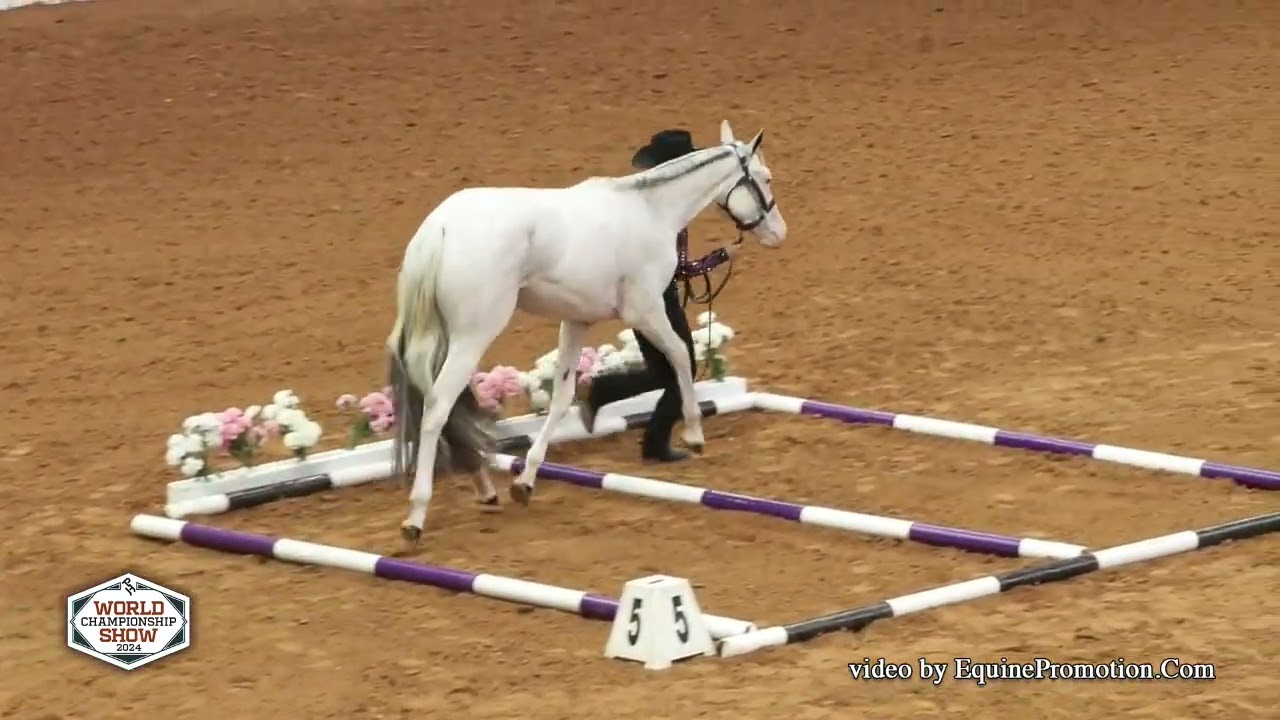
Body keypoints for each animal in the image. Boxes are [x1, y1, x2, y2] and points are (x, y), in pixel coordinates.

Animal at [386, 119, 788, 544]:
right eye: (765, 177)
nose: (779, 233)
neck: (649, 210)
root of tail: (440, 228)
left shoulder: (576, 321)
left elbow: (563, 398)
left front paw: (526, 481)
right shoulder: (645, 309)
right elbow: (680, 355)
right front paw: (694, 435)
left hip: (441, 340)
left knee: (438, 406)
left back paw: (484, 487)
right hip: (471, 338)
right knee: (437, 409)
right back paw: (416, 516)